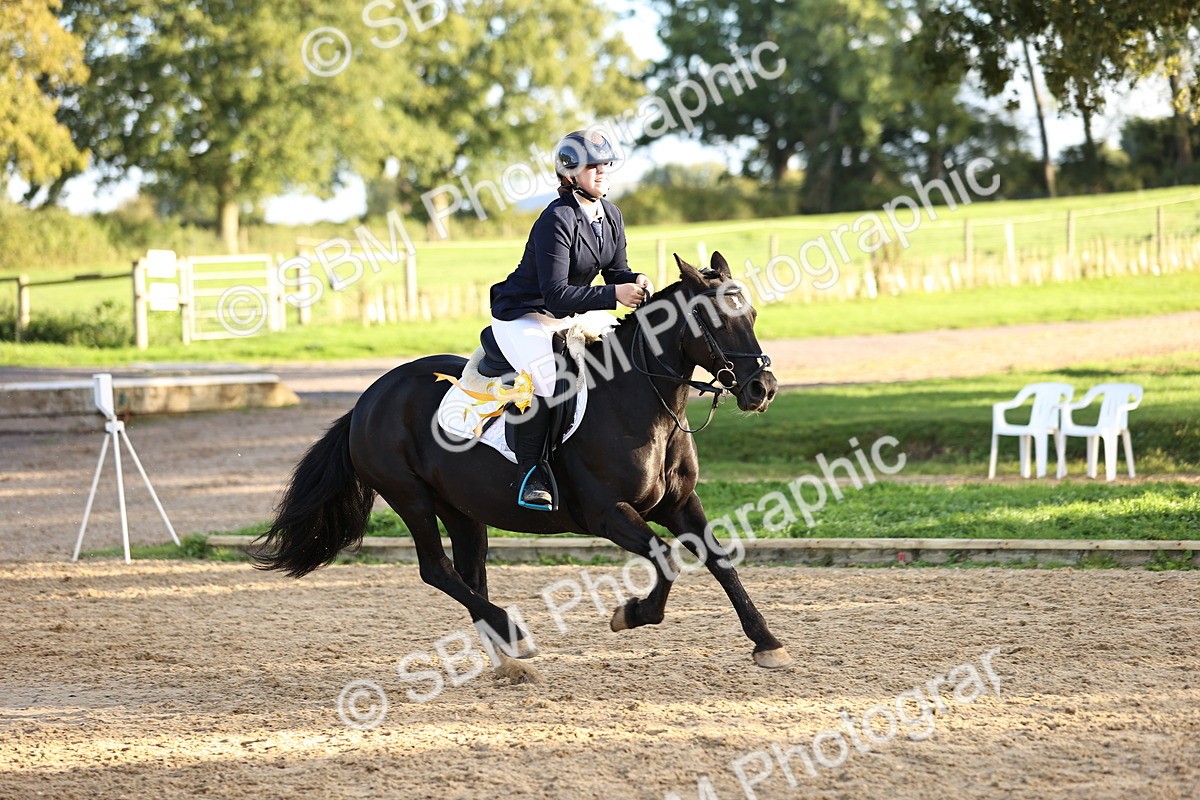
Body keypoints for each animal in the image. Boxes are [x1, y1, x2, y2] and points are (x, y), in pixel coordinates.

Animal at [255, 252, 792, 677]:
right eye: (715, 318)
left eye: (752, 313)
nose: (762, 390)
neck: (645, 402)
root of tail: (368, 399)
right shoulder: (607, 514)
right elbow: (665, 558)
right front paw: (631, 615)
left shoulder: (679, 504)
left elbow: (718, 559)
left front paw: (766, 642)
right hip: (410, 497)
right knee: (436, 568)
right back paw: (515, 636)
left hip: (461, 508)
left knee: (468, 573)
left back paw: (507, 659)